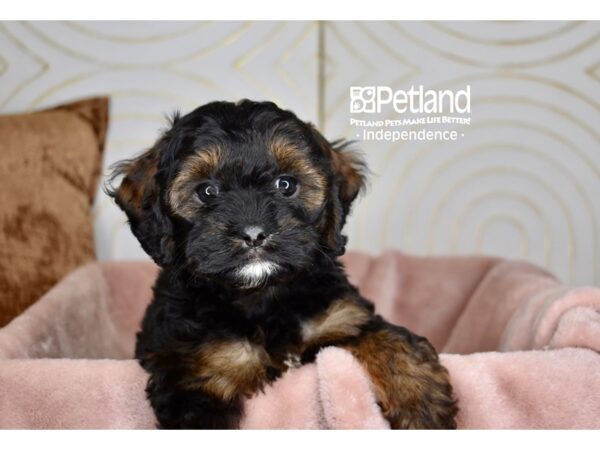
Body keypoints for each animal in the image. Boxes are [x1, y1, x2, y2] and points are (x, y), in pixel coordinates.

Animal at [108, 100, 458, 430]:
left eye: (285, 184)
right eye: (207, 191)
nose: (253, 234)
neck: (262, 295)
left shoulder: (341, 318)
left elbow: (386, 338)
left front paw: (422, 404)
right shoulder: (195, 374)